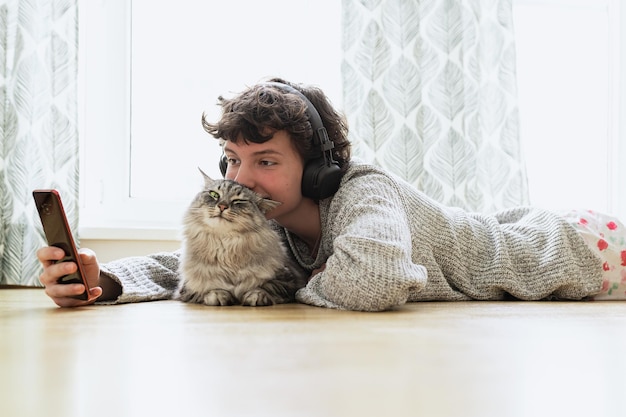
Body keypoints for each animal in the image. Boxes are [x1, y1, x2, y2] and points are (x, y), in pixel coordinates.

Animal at [174, 170, 306, 306]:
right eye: (214, 194)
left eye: (238, 201)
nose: (222, 206)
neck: (225, 247)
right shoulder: (186, 286)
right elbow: (208, 289)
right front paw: (218, 295)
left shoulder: (288, 280)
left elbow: (267, 286)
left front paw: (255, 296)